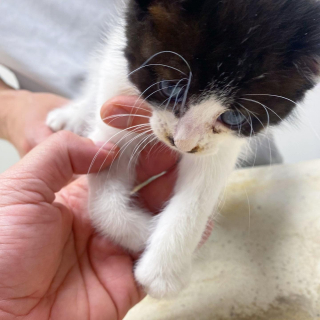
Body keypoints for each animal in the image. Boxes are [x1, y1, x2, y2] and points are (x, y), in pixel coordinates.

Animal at [46, 0, 320, 298]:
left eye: (234, 117)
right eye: (170, 87)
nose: (182, 143)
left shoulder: (219, 146)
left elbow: (200, 192)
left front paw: (163, 271)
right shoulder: (116, 101)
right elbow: (103, 197)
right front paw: (144, 231)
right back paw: (71, 115)